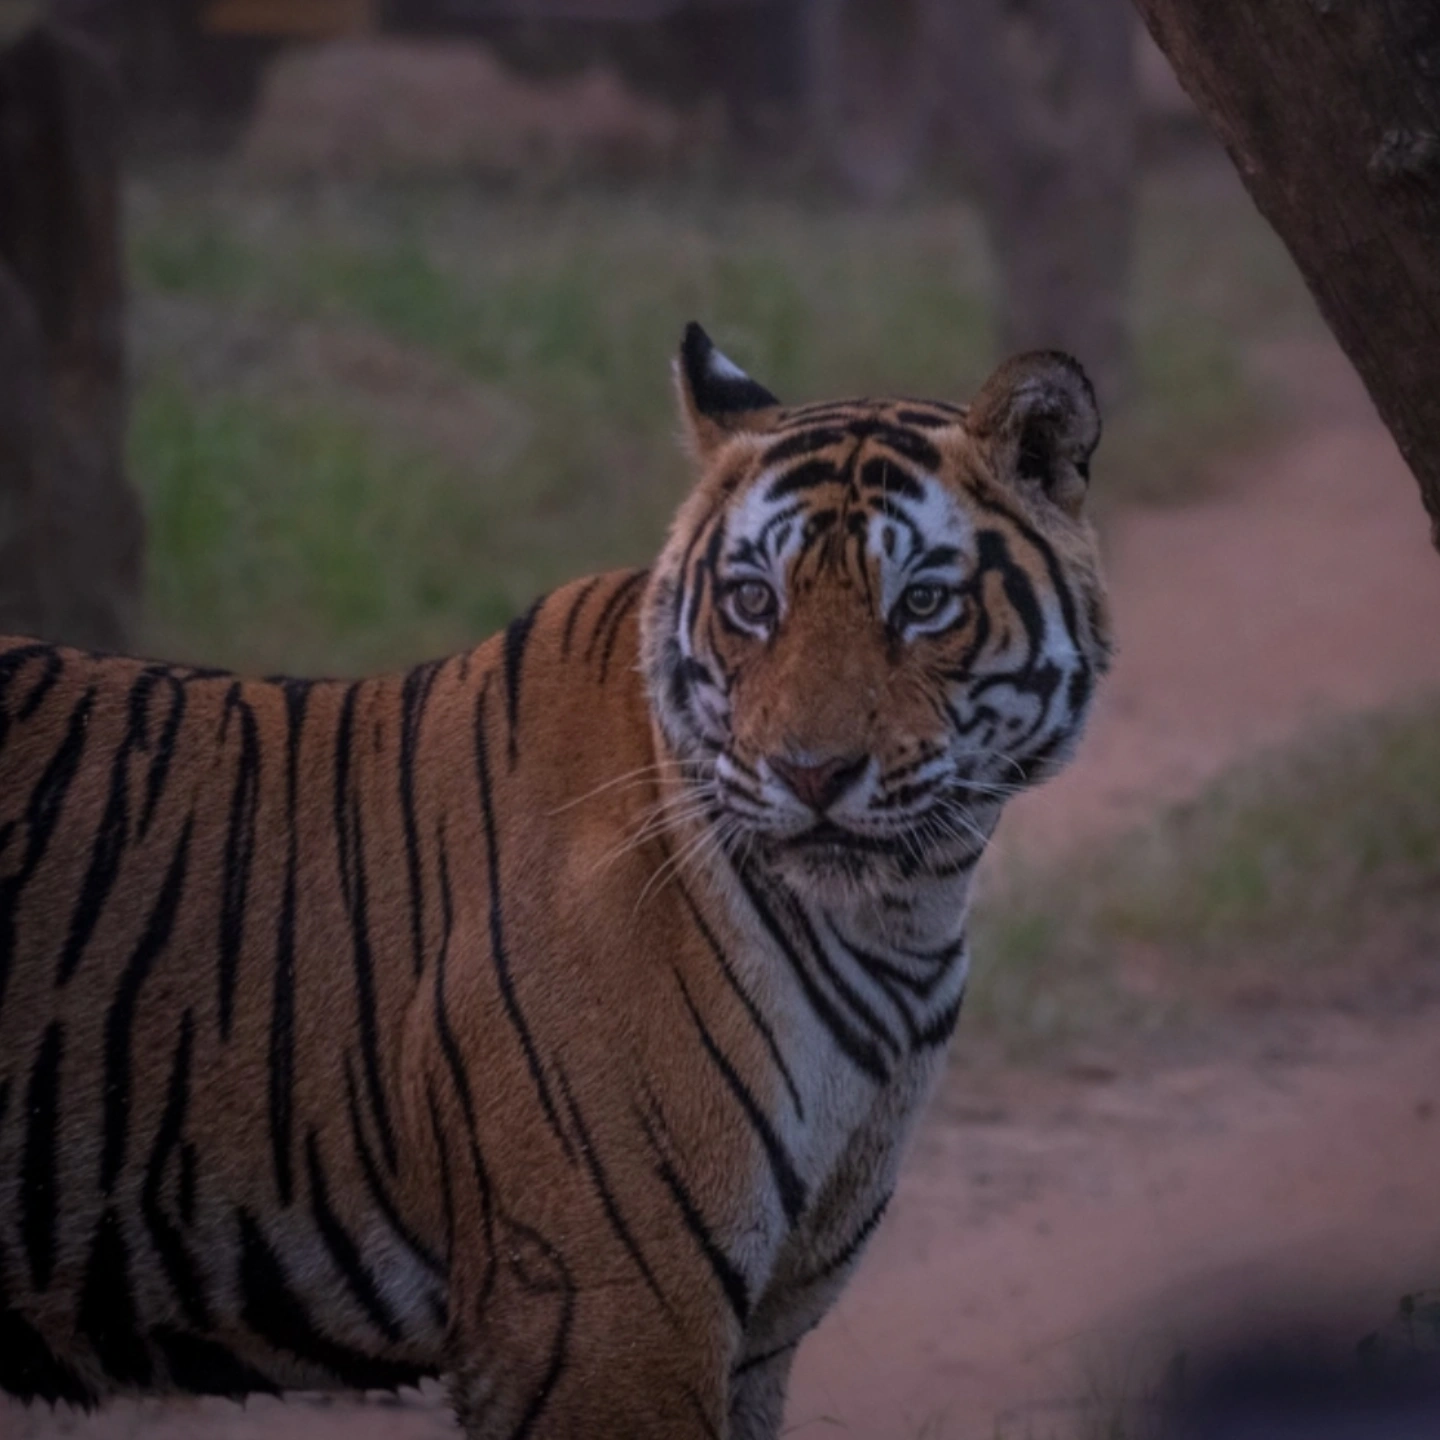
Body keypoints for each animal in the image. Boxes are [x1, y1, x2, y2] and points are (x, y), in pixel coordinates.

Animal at [0, 324, 1111, 1438]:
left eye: (921, 604)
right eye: (755, 602)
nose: (810, 773)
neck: (898, 918)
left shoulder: (764, 1331)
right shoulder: (610, 1323)